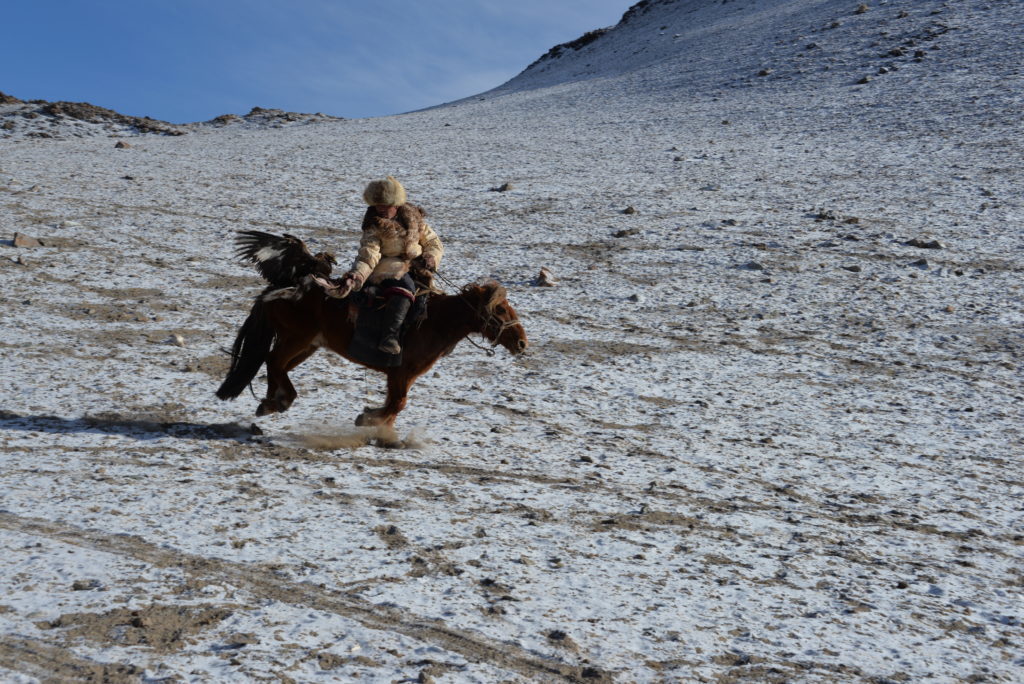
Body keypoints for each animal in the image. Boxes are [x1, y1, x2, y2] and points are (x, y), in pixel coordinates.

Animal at [215, 275, 528, 440]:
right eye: (500, 309)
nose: (522, 343)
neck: (433, 321)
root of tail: (279, 289)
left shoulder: (405, 376)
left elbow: (395, 405)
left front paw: (379, 425)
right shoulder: (400, 373)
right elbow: (398, 403)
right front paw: (367, 419)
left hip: (308, 345)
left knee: (275, 364)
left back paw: (270, 403)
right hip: (297, 339)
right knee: (274, 361)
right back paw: (280, 401)